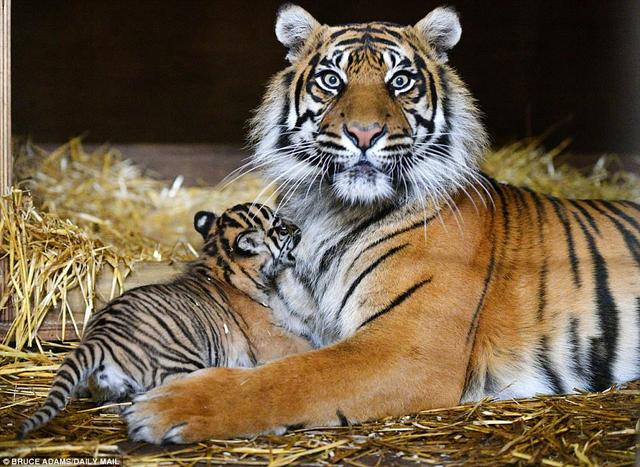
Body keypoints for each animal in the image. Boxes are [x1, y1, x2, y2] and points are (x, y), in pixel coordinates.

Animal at [125, 4, 640, 442]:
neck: (331, 212)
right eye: (331, 80)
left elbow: (295, 375)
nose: (364, 133)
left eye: (401, 81)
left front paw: (166, 407)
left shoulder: (408, 347)